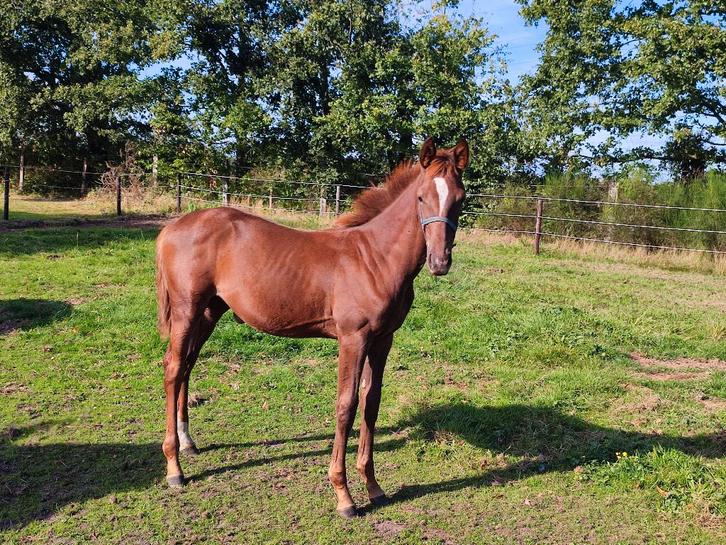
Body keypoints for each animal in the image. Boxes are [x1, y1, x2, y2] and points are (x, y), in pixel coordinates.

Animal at [155, 137, 469, 518]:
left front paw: (374, 487)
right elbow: (346, 405)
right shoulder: (353, 338)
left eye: (460, 198)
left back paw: (188, 443)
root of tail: (171, 228)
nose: (440, 262)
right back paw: (174, 468)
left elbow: (372, 402)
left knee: (187, 365)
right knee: (173, 368)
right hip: (186, 310)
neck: (375, 259)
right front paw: (344, 495)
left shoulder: (383, 340)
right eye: (421, 197)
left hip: (210, 312)